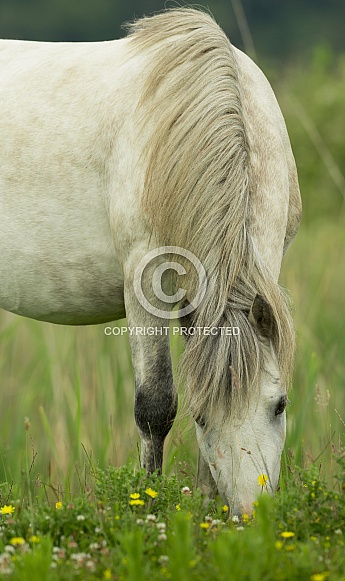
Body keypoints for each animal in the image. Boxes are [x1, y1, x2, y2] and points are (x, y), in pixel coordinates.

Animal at [0, 9, 300, 512]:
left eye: (279, 405)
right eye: (200, 416)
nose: (247, 514)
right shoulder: (145, 278)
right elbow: (155, 407)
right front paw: (149, 505)